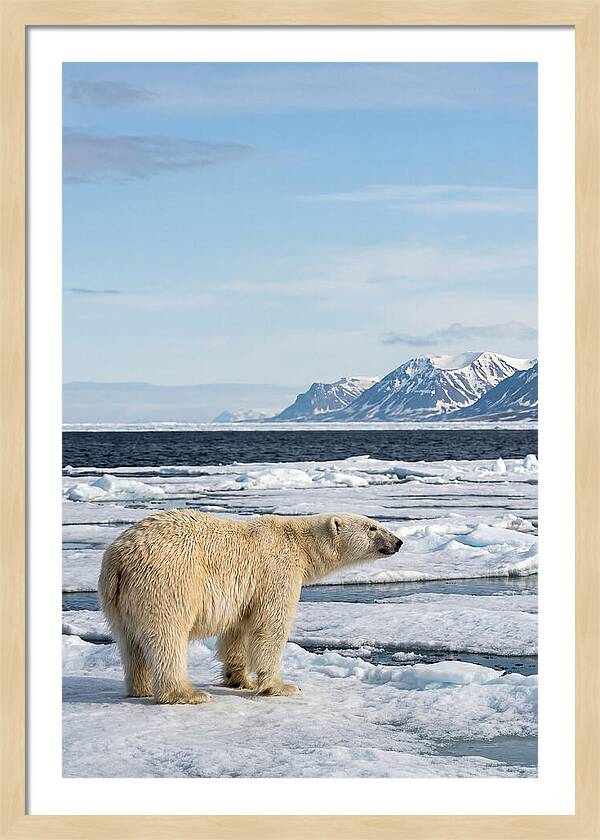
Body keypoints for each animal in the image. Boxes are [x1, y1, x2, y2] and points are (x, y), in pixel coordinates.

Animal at [98, 509, 403, 705]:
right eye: (373, 527)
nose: (398, 542)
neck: (299, 544)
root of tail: (120, 559)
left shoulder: (246, 593)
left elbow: (238, 630)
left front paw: (240, 679)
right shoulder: (276, 571)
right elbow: (271, 626)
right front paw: (282, 686)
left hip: (117, 600)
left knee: (130, 642)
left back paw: (141, 688)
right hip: (167, 582)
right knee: (167, 637)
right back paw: (187, 694)